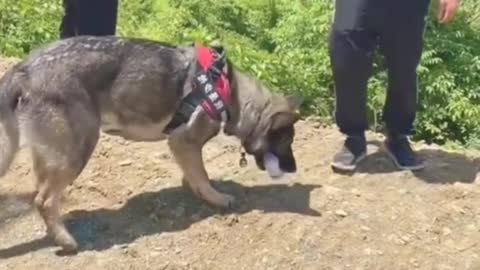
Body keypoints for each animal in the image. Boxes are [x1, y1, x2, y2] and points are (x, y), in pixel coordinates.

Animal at [0, 35, 302, 251]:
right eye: (287, 139)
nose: (294, 169)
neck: (231, 92)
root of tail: (24, 68)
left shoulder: (184, 148)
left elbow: (194, 173)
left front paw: (193, 188)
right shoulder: (184, 141)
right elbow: (203, 175)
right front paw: (215, 197)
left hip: (53, 152)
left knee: (41, 190)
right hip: (78, 148)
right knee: (44, 199)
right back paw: (65, 240)